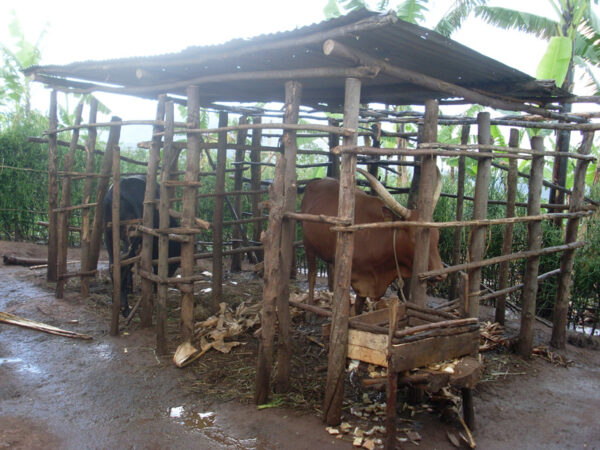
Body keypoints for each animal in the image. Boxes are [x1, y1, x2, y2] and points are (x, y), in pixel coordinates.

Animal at [300, 168, 446, 312]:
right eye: (415, 238)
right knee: (312, 277)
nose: (440, 274)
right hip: (308, 246)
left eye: (437, 236)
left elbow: (358, 309)